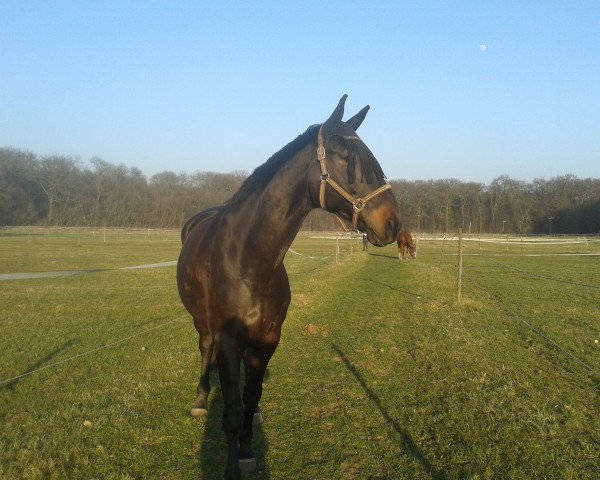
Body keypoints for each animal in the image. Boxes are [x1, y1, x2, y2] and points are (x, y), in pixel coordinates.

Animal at [178, 95, 404, 478]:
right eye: (349, 160)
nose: (392, 223)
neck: (248, 260)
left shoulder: (269, 337)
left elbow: (250, 397)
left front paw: (247, 449)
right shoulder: (227, 339)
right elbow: (231, 413)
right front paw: (232, 465)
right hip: (203, 323)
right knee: (204, 348)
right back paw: (199, 399)